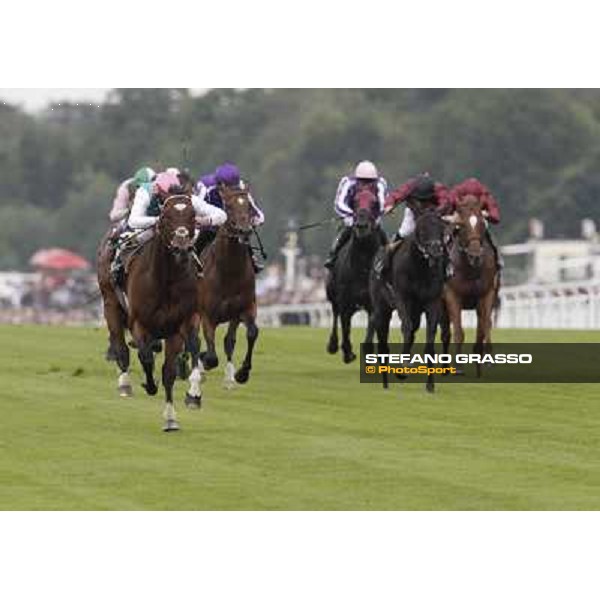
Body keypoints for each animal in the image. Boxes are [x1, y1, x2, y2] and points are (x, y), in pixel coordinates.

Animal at [193, 184, 256, 390]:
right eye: (228, 207)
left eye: (250, 207)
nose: (244, 231)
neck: (229, 272)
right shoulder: (207, 315)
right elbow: (211, 355)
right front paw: (204, 361)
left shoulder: (245, 308)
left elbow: (248, 334)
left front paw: (241, 374)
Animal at [326, 190, 382, 364]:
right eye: (354, 201)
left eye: (374, 202)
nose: (362, 225)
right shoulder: (345, 301)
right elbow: (345, 326)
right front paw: (348, 352)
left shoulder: (373, 303)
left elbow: (372, 325)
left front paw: (369, 350)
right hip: (332, 293)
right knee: (335, 314)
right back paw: (332, 345)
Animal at [368, 209, 448, 392]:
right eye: (423, 229)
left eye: (441, 228)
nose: (436, 250)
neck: (420, 268)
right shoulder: (403, 298)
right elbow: (406, 327)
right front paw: (402, 369)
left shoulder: (432, 302)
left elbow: (430, 335)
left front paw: (430, 384)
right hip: (382, 307)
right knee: (382, 332)